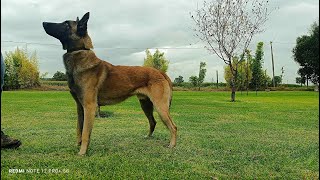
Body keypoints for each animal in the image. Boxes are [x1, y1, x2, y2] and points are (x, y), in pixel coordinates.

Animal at [42, 12, 178, 155]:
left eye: (66, 24)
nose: (44, 23)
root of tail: (160, 72)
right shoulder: (80, 107)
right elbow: (79, 129)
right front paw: (77, 146)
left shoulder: (89, 106)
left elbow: (85, 133)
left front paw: (82, 153)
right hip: (146, 105)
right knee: (153, 122)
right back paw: (148, 137)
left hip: (160, 107)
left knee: (173, 127)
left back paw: (172, 145)